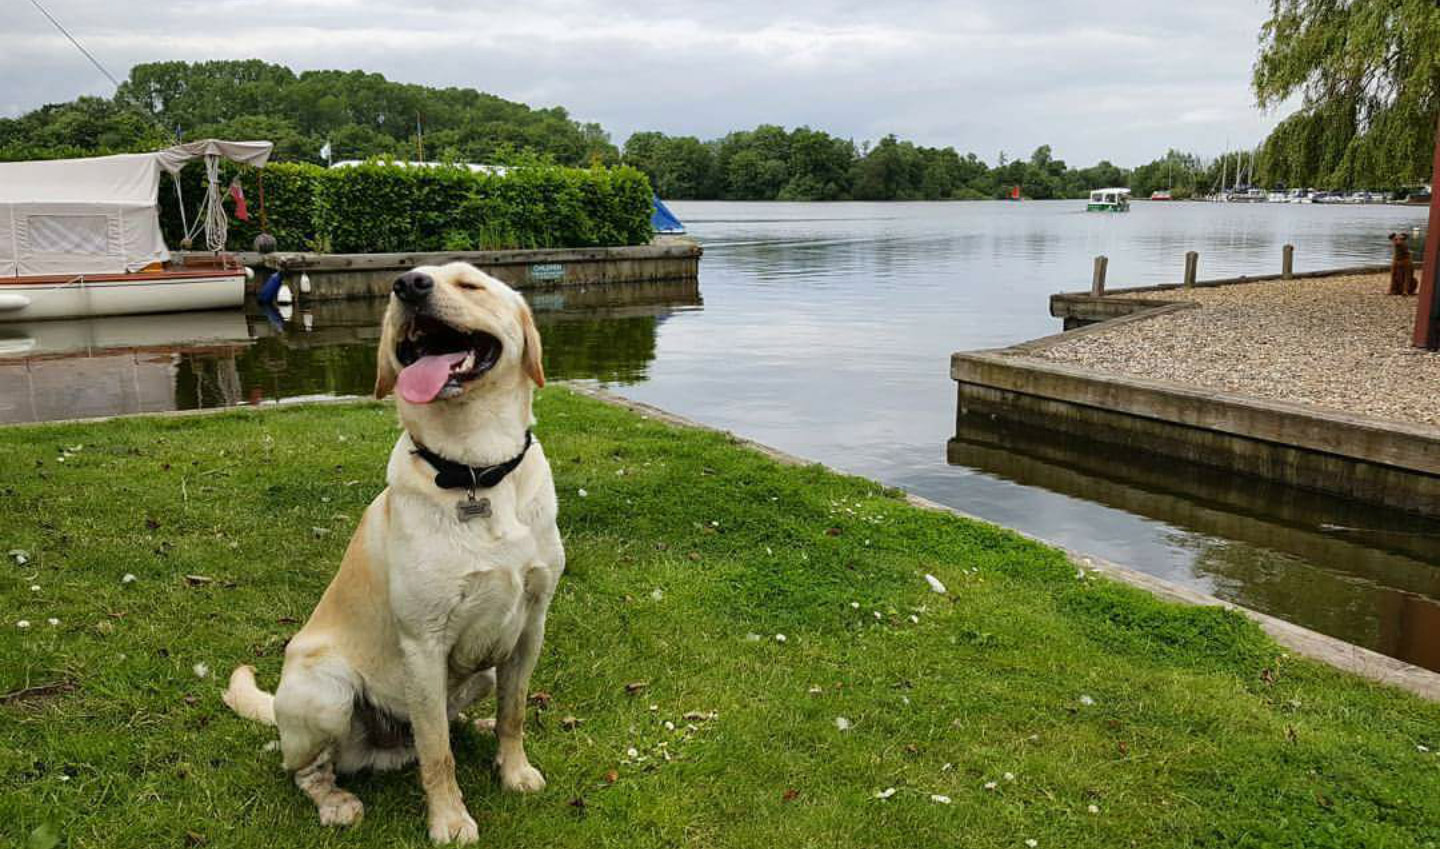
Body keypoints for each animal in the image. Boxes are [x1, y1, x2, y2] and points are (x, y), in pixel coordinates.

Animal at [223, 261, 561, 846]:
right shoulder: (423, 646)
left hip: (482, 672)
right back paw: (335, 802)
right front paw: (450, 820)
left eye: (470, 284)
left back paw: (479, 727)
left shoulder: (529, 628)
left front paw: (514, 769)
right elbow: (437, 754)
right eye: (401, 285)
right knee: (309, 770)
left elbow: (514, 712)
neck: (475, 472)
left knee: (454, 719)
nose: (409, 284)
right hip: (327, 692)